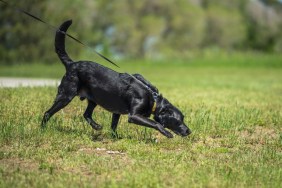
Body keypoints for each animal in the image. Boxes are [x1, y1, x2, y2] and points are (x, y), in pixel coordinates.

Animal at [41, 20, 192, 138]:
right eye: (178, 121)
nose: (189, 131)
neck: (153, 98)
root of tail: (71, 64)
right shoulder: (134, 116)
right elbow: (155, 123)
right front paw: (167, 133)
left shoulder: (116, 112)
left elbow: (113, 126)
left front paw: (115, 138)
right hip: (66, 96)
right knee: (47, 113)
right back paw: (42, 129)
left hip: (94, 98)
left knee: (86, 114)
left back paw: (96, 126)